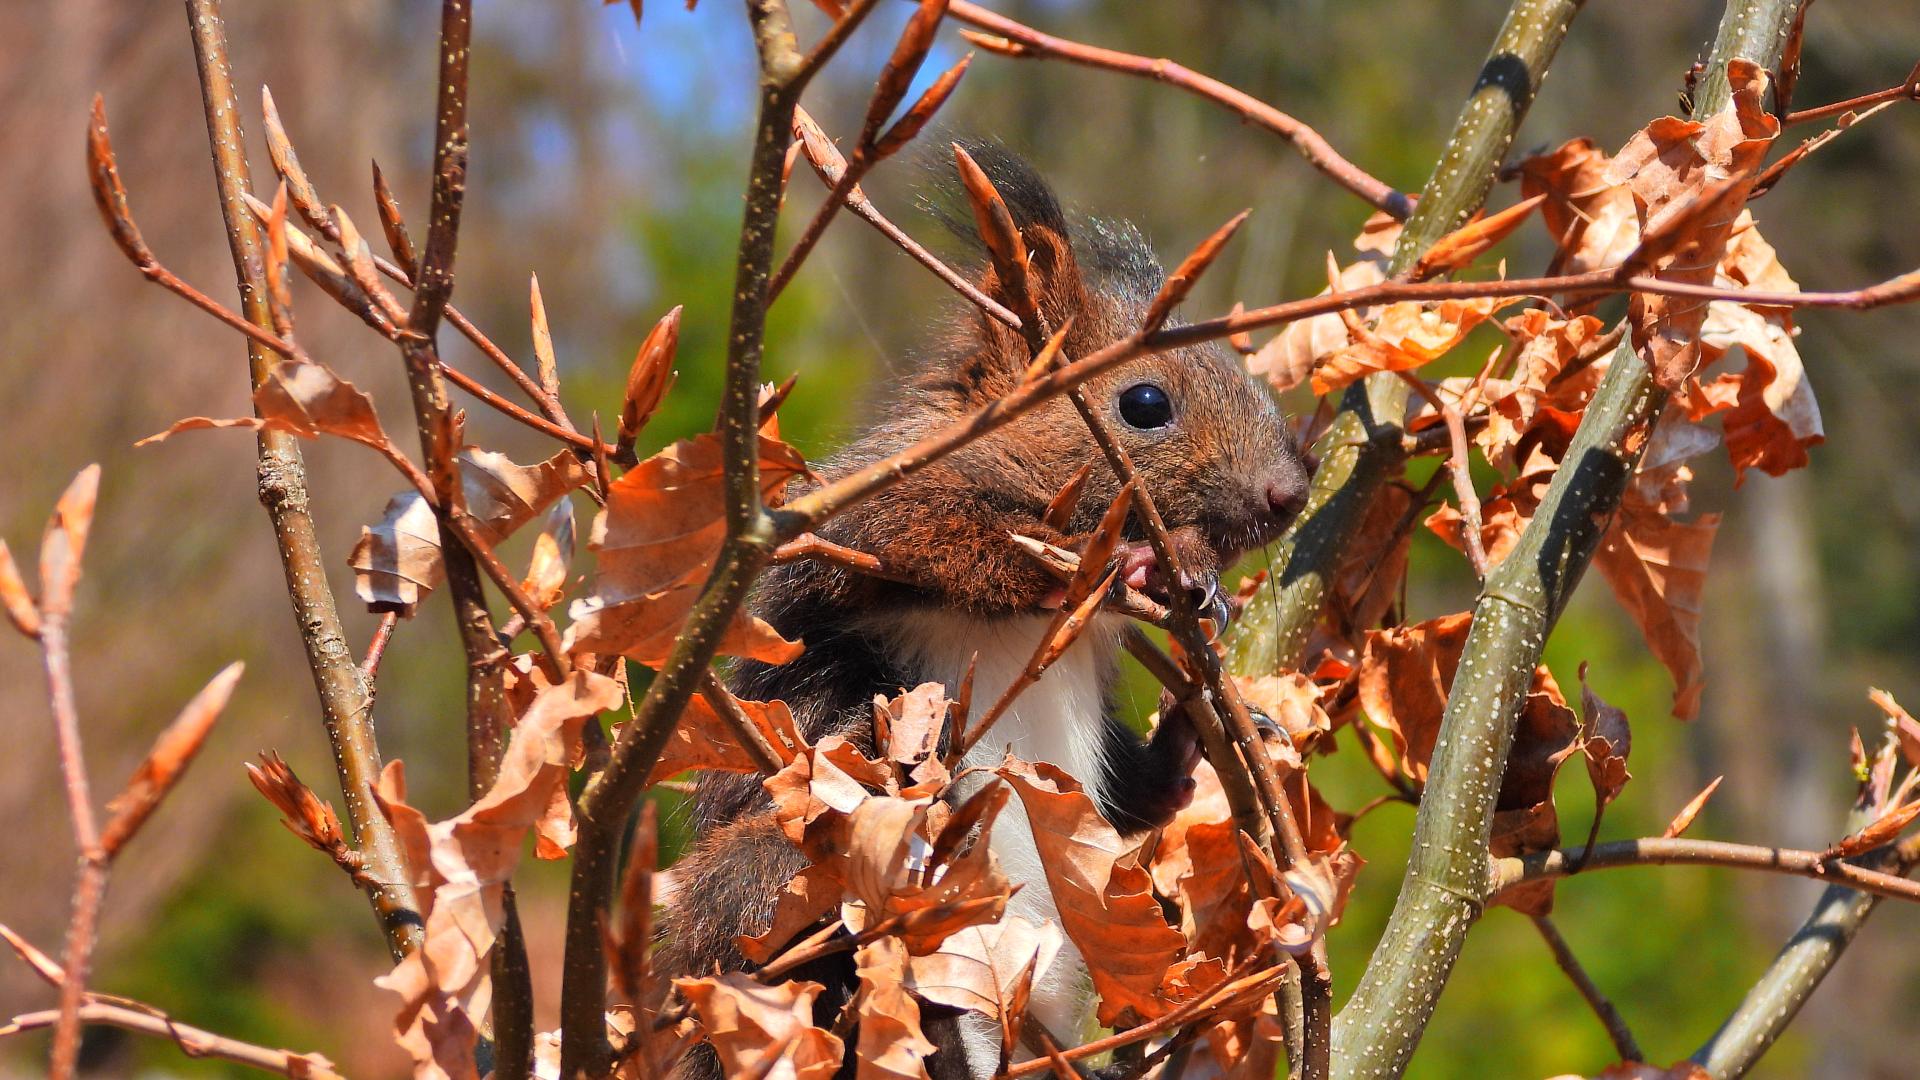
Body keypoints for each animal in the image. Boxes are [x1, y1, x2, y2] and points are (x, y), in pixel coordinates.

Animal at [657, 145, 1310, 1078]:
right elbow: (946, 542)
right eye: (1145, 405)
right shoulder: (878, 515)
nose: (1289, 493)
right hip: (779, 872)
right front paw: (1137, 559)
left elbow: (1135, 794)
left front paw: (1202, 695)